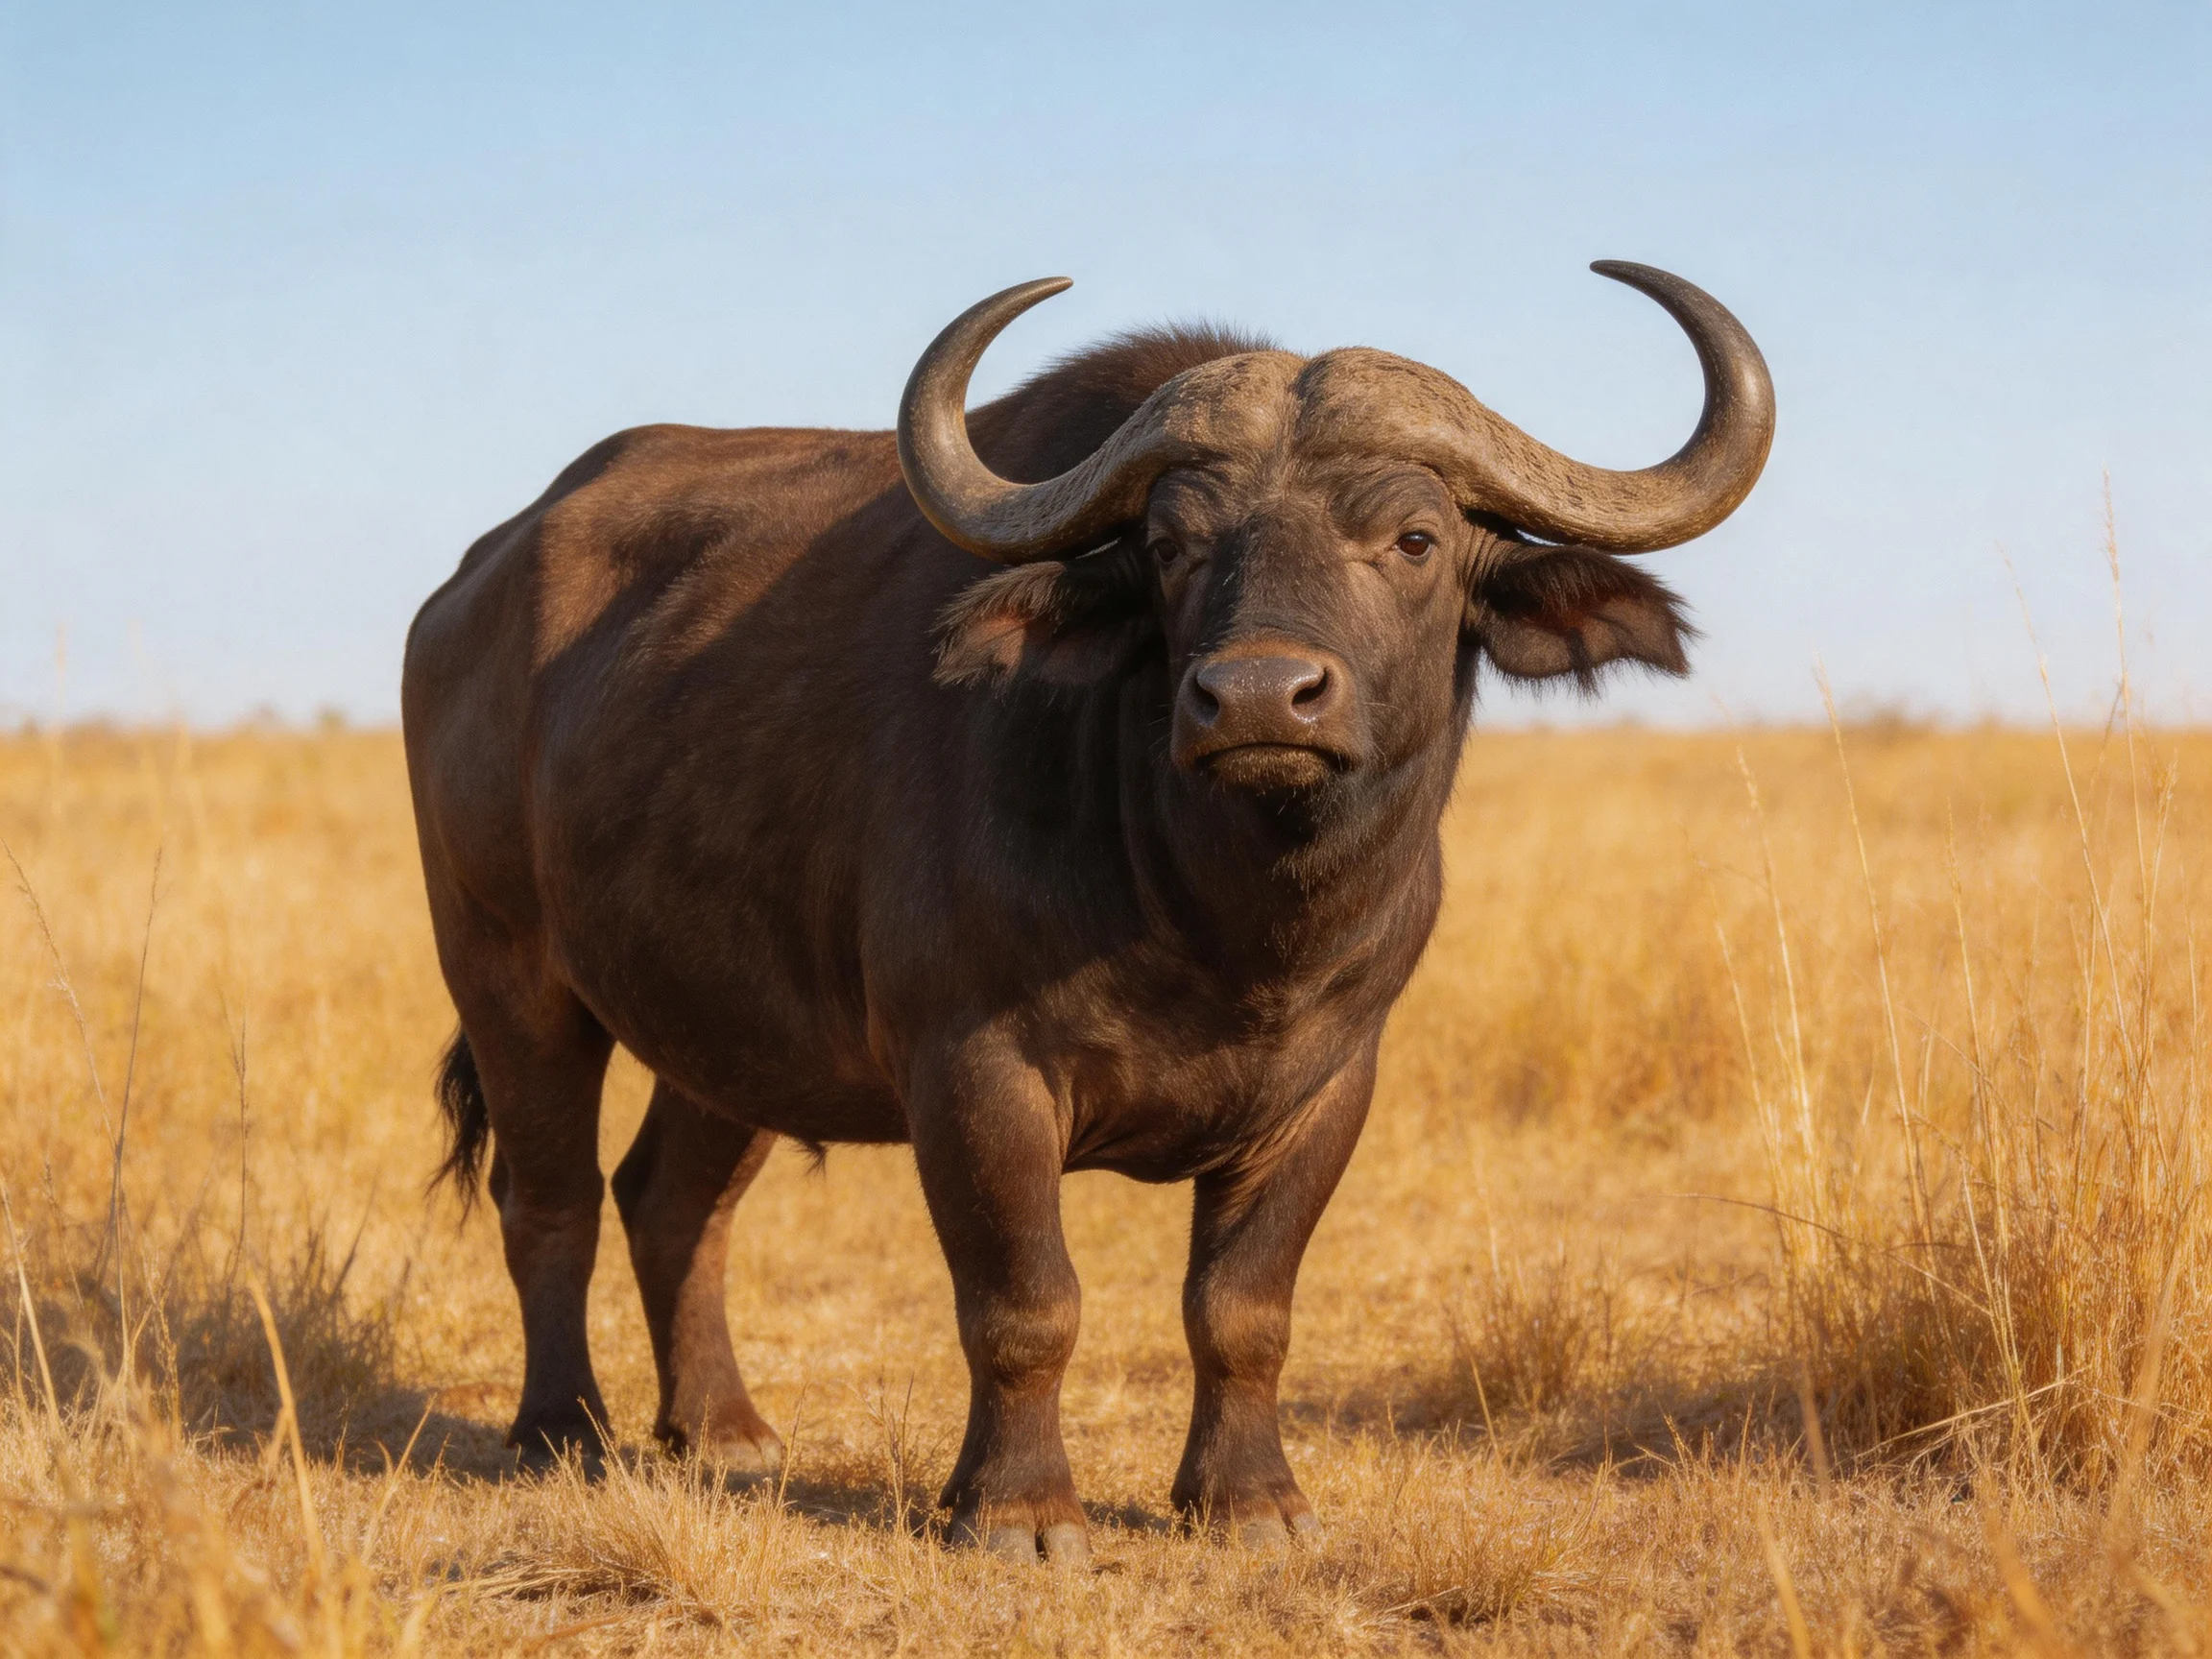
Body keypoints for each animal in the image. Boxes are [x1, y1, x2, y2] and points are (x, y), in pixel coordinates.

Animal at [401, 262, 1772, 1561]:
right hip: (507, 970)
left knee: (672, 1202)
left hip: (731, 1029)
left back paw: (722, 1432)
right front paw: (1016, 1509)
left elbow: (1243, 1309)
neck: (1218, 918)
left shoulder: (1329, 1087)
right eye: (1171, 545)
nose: (1259, 697)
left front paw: (1249, 1502)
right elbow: (1026, 1305)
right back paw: (563, 1431)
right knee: (552, 1200)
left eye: (1417, 538)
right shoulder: (975, 1071)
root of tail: (468, 589)